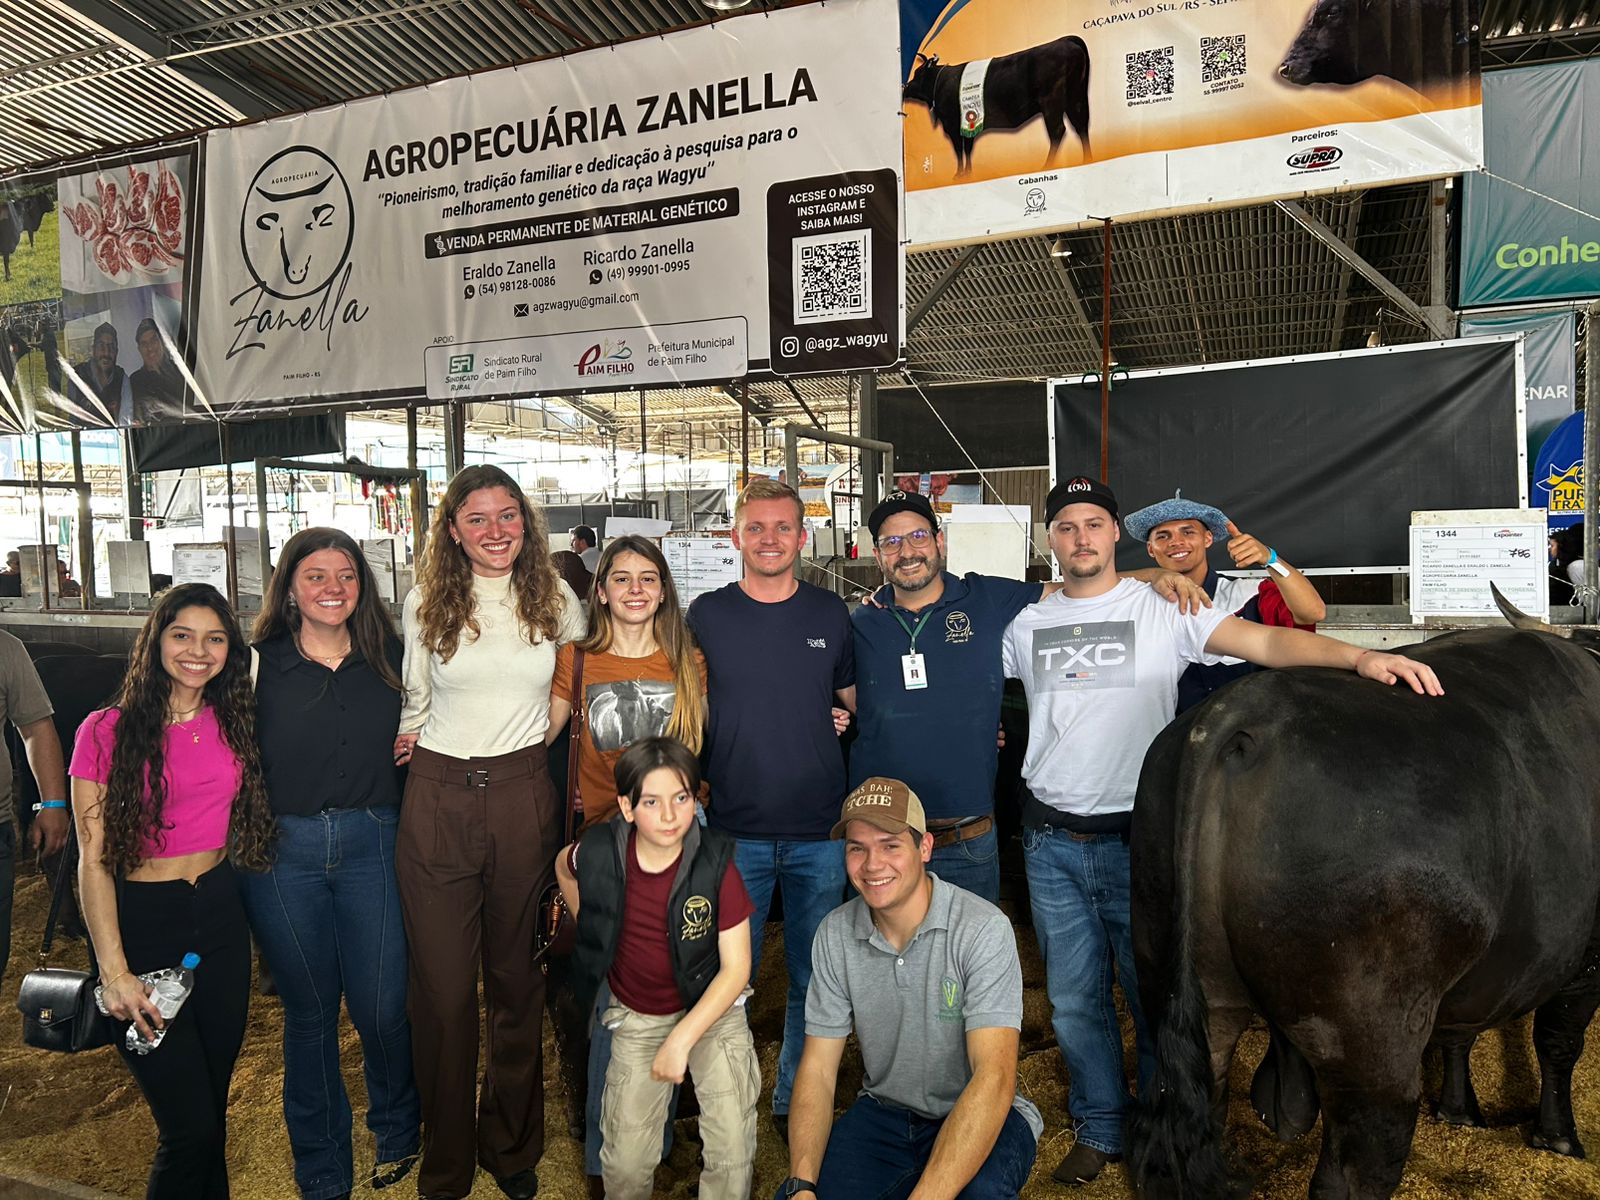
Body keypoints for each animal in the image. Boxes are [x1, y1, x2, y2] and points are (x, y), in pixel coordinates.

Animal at [903, 37, 1090, 177]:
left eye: (917, 74)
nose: (905, 87)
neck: (940, 82)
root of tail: (1064, 40)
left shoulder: (952, 124)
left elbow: (958, 149)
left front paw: (958, 174)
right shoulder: (967, 124)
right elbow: (968, 148)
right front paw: (968, 173)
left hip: (1051, 102)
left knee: (1057, 131)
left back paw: (1047, 166)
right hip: (1076, 98)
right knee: (1081, 125)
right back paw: (1087, 159)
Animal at [1128, 622, 1600, 1199]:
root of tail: (1237, 713)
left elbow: (1459, 1033)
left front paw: (1458, 1110)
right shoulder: (1586, 956)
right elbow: (1558, 1041)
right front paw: (1559, 1137)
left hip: (1183, 988)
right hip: (1371, 1045)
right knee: (1356, 1168)